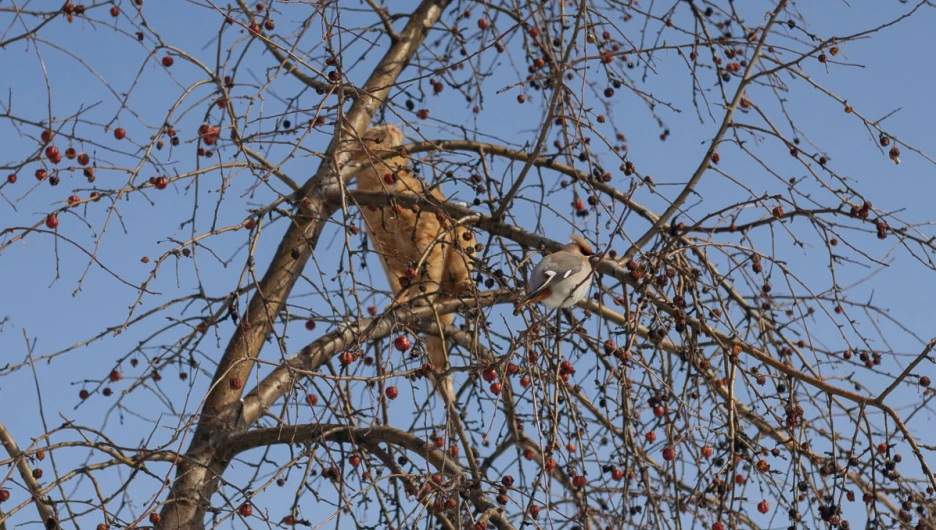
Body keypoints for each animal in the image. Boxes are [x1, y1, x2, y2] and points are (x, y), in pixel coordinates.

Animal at [344, 124, 472, 402]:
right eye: (377, 128)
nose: (392, 125)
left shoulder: (430, 239)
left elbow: (428, 276)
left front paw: (422, 299)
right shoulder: (388, 254)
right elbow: (401, 283)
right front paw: (399, 302)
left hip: (461, 242)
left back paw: (458, 289)